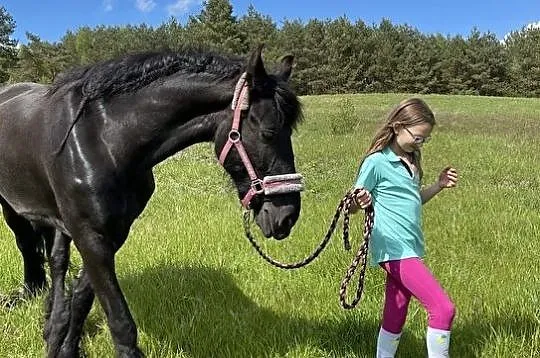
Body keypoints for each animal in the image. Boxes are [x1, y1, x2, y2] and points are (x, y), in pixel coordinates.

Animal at [0, 45, 304, 358]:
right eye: (268, 132)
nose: (286, 215)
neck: (104, 140)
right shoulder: (91, 237)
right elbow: (121, 323)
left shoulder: (112, 234)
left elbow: (81, 298)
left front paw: (66, 346)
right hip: (14, 208)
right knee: (29, 246)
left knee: (56, 260)